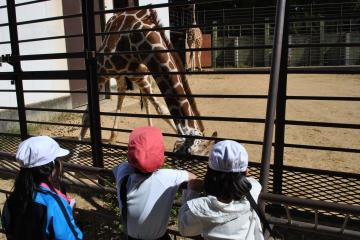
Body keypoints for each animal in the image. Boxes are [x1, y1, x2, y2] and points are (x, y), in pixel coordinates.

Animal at [80, 8, 217, 155]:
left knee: (133, 95)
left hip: (140, 77)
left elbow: (162, 110)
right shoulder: (101, 69)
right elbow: (86, 117)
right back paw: (113, 137)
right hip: (121, 74)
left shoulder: (141, 75)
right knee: (122, 92)